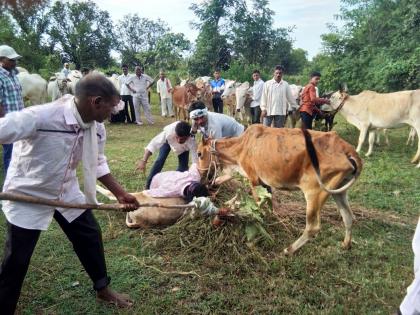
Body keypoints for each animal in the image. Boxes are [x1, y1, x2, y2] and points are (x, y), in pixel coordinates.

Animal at [197, 124, 360, 256]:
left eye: (199, 153)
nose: (201, 175)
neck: (242, 146)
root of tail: (349, 151)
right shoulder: (263, 183)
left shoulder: (253, 179)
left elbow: (257, 207)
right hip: (339, 191)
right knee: (348, 217)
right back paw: (346, 244)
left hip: (314, 192)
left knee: (313, 227)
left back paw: (288, 250)